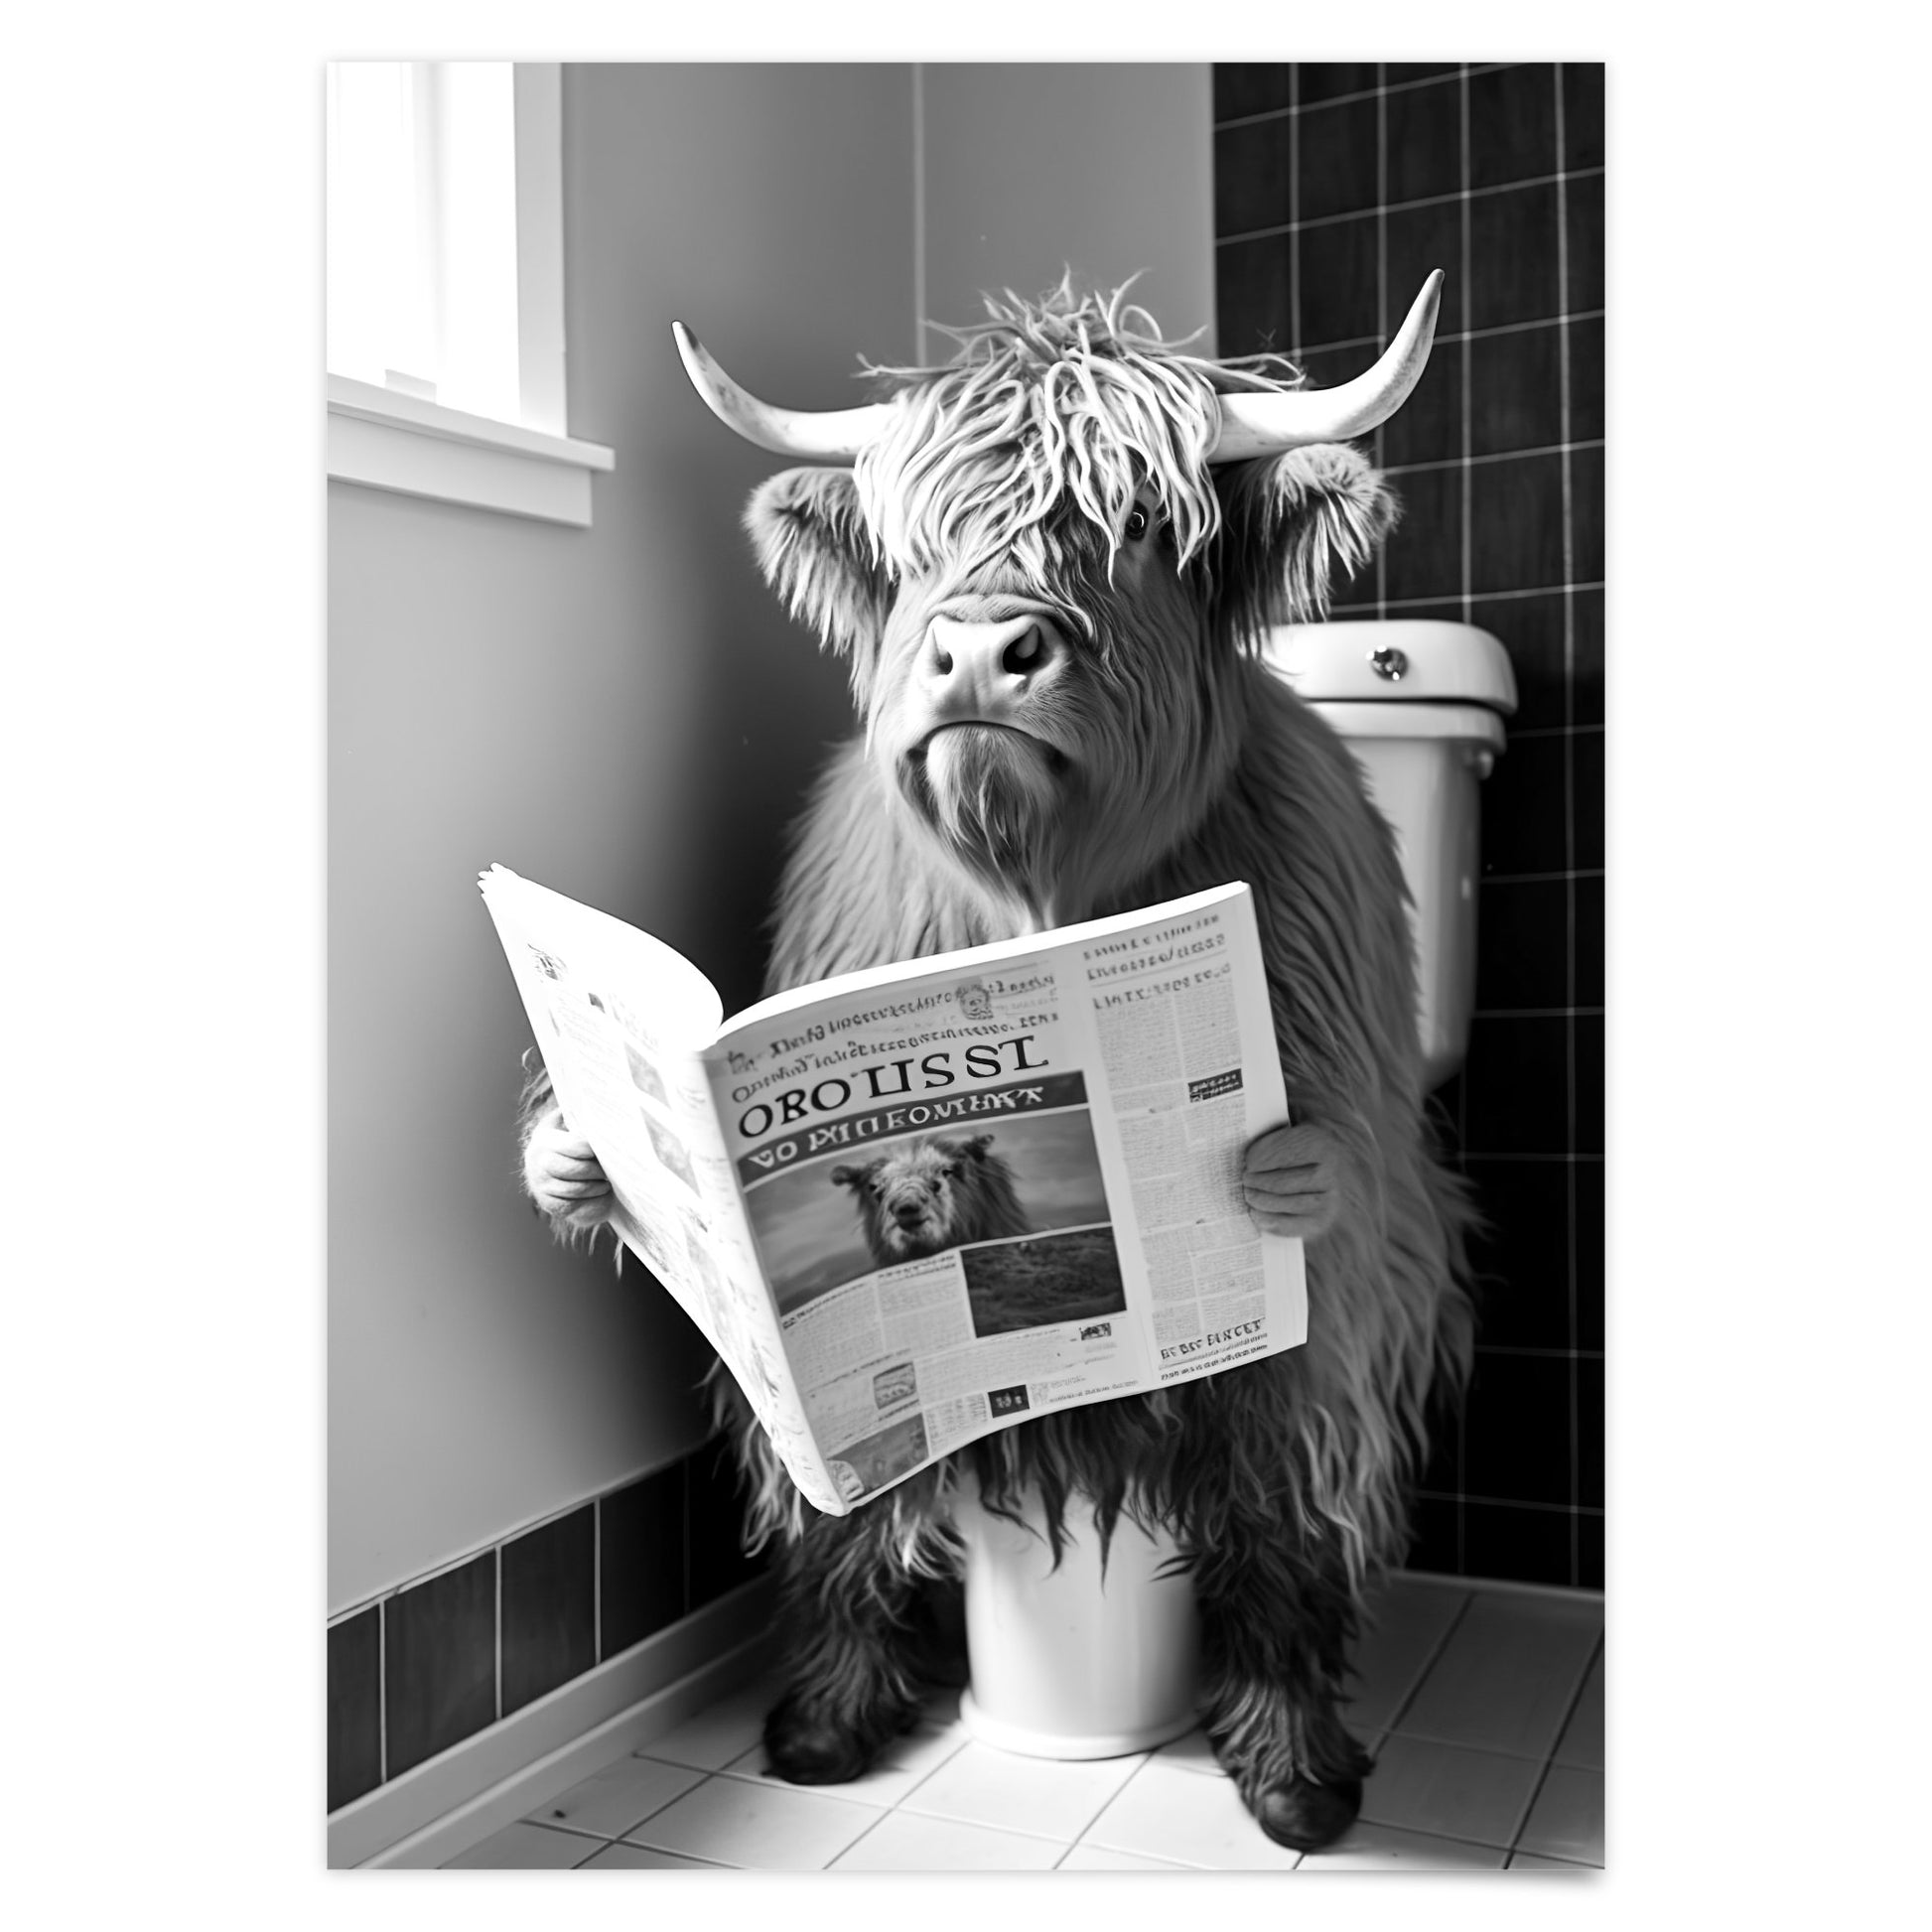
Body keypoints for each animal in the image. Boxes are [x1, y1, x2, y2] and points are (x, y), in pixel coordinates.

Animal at [519, 271, 1476, 1851]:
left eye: (1139, 520)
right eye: (914, 543)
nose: (978, 648)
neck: (1037, 898)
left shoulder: (1354, 1218)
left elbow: (1296, 1435)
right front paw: (571, 1150)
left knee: (1281, 1468)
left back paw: (1289, 1762)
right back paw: (837, 1703)